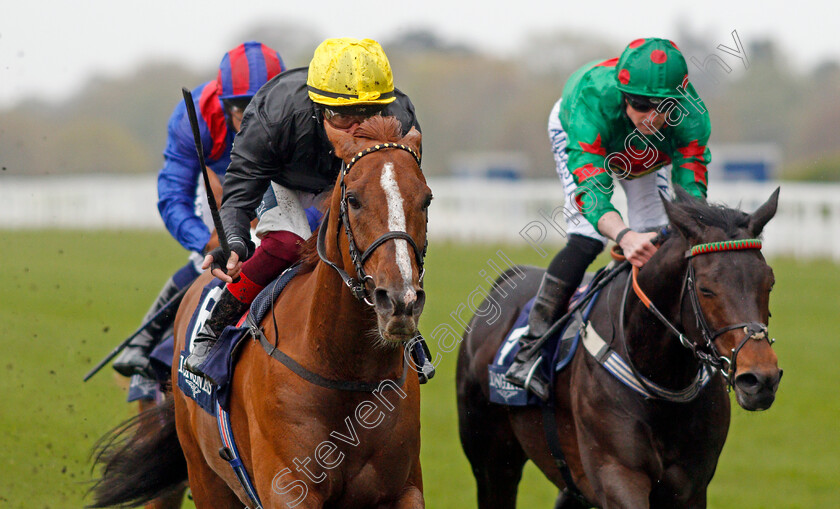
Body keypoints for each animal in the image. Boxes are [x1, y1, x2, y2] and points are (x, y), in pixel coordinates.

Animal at [89, 116, 430, 508]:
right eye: (353, 199)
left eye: (426, 199)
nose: (400, 300)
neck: (344, 369)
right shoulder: (288, 487)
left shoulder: (403, 489)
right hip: (204, 474)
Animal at [456, 188, 784, 508]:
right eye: (705, 288)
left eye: (769, 282)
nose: (760, 379)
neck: (661, 378)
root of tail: (507, 280)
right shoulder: (617, 474)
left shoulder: (690, 486)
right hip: (493, 460)